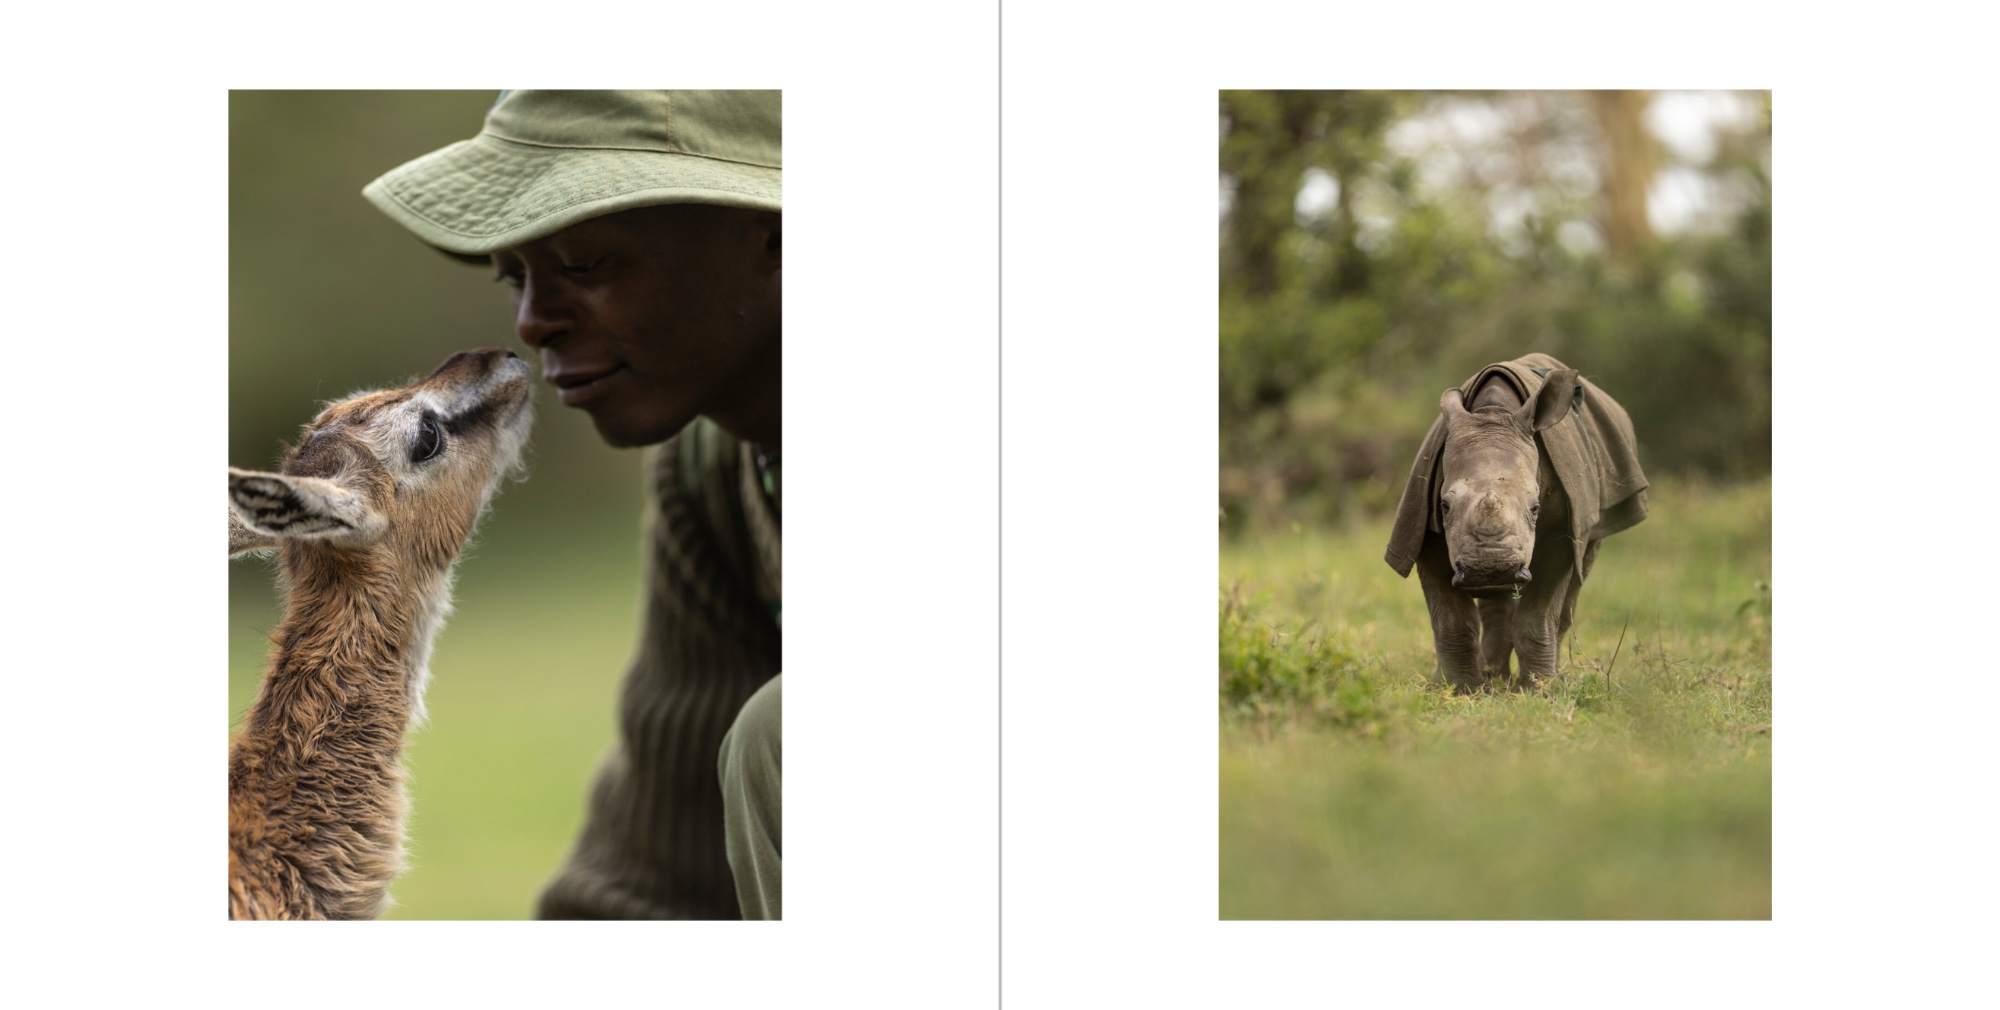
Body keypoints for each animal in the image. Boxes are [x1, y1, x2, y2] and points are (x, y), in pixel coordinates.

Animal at [1384, 353, 1649, 692]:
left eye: (1536, 508)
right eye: (1443, 506)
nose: (1490, 569)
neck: (1493, 415)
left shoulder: (1563, 532)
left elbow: (1537, 617)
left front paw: (1540, 692)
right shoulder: (1424, 531)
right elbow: (1452, 621)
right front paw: (1462, 691)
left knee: (1577, 576)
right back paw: (1491, 677)